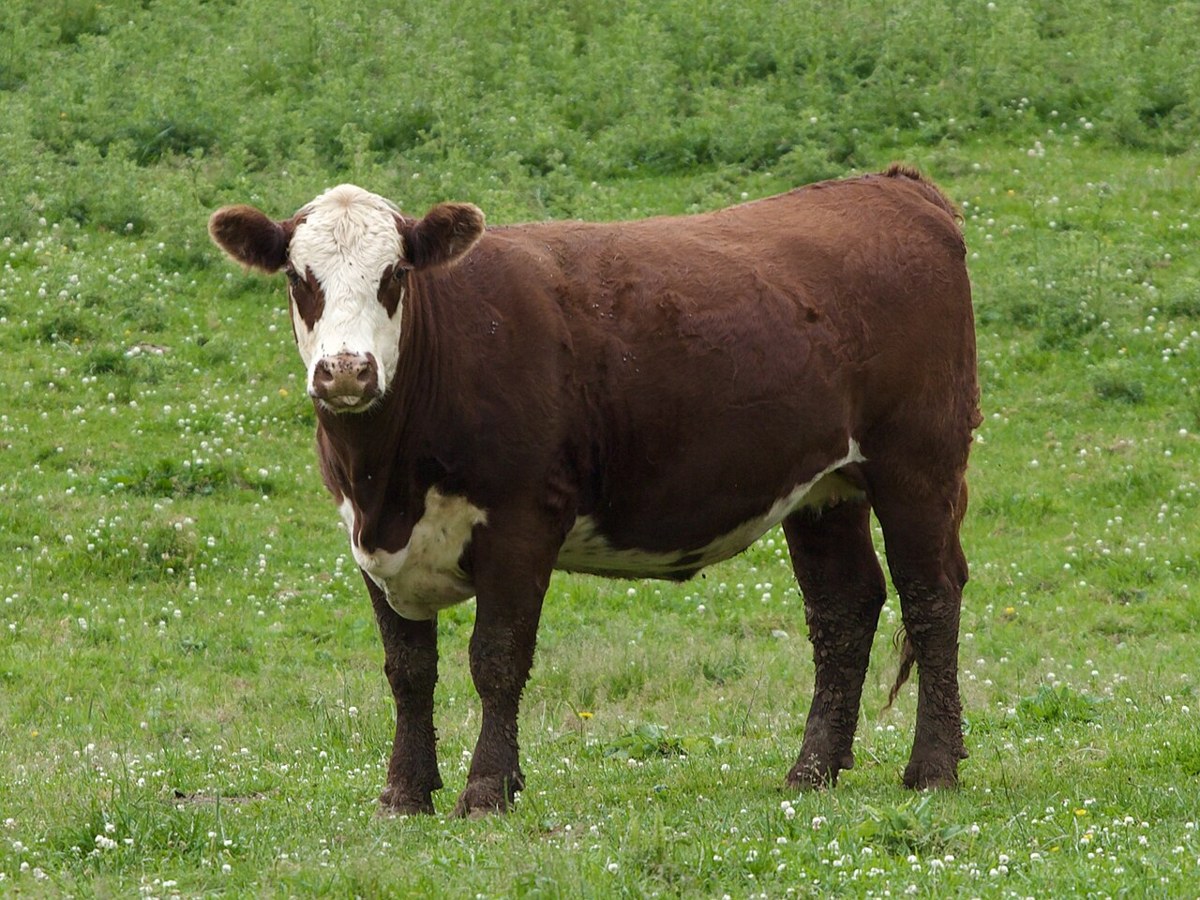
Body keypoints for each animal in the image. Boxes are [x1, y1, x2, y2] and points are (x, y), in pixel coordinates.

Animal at [208, 165, 980, 817]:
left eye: (394, 272)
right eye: (298, 277)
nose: (346, 371)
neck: (388, 479)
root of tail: (892, 185)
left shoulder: (522, 521)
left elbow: (496, 660)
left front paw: (486, 790)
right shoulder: (370, 543)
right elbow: (408, 671)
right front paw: (405, 792)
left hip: (918, 463)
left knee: (931, 597)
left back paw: (933, 768)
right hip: (826, 488)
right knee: (844, 610)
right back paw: (812, 770)